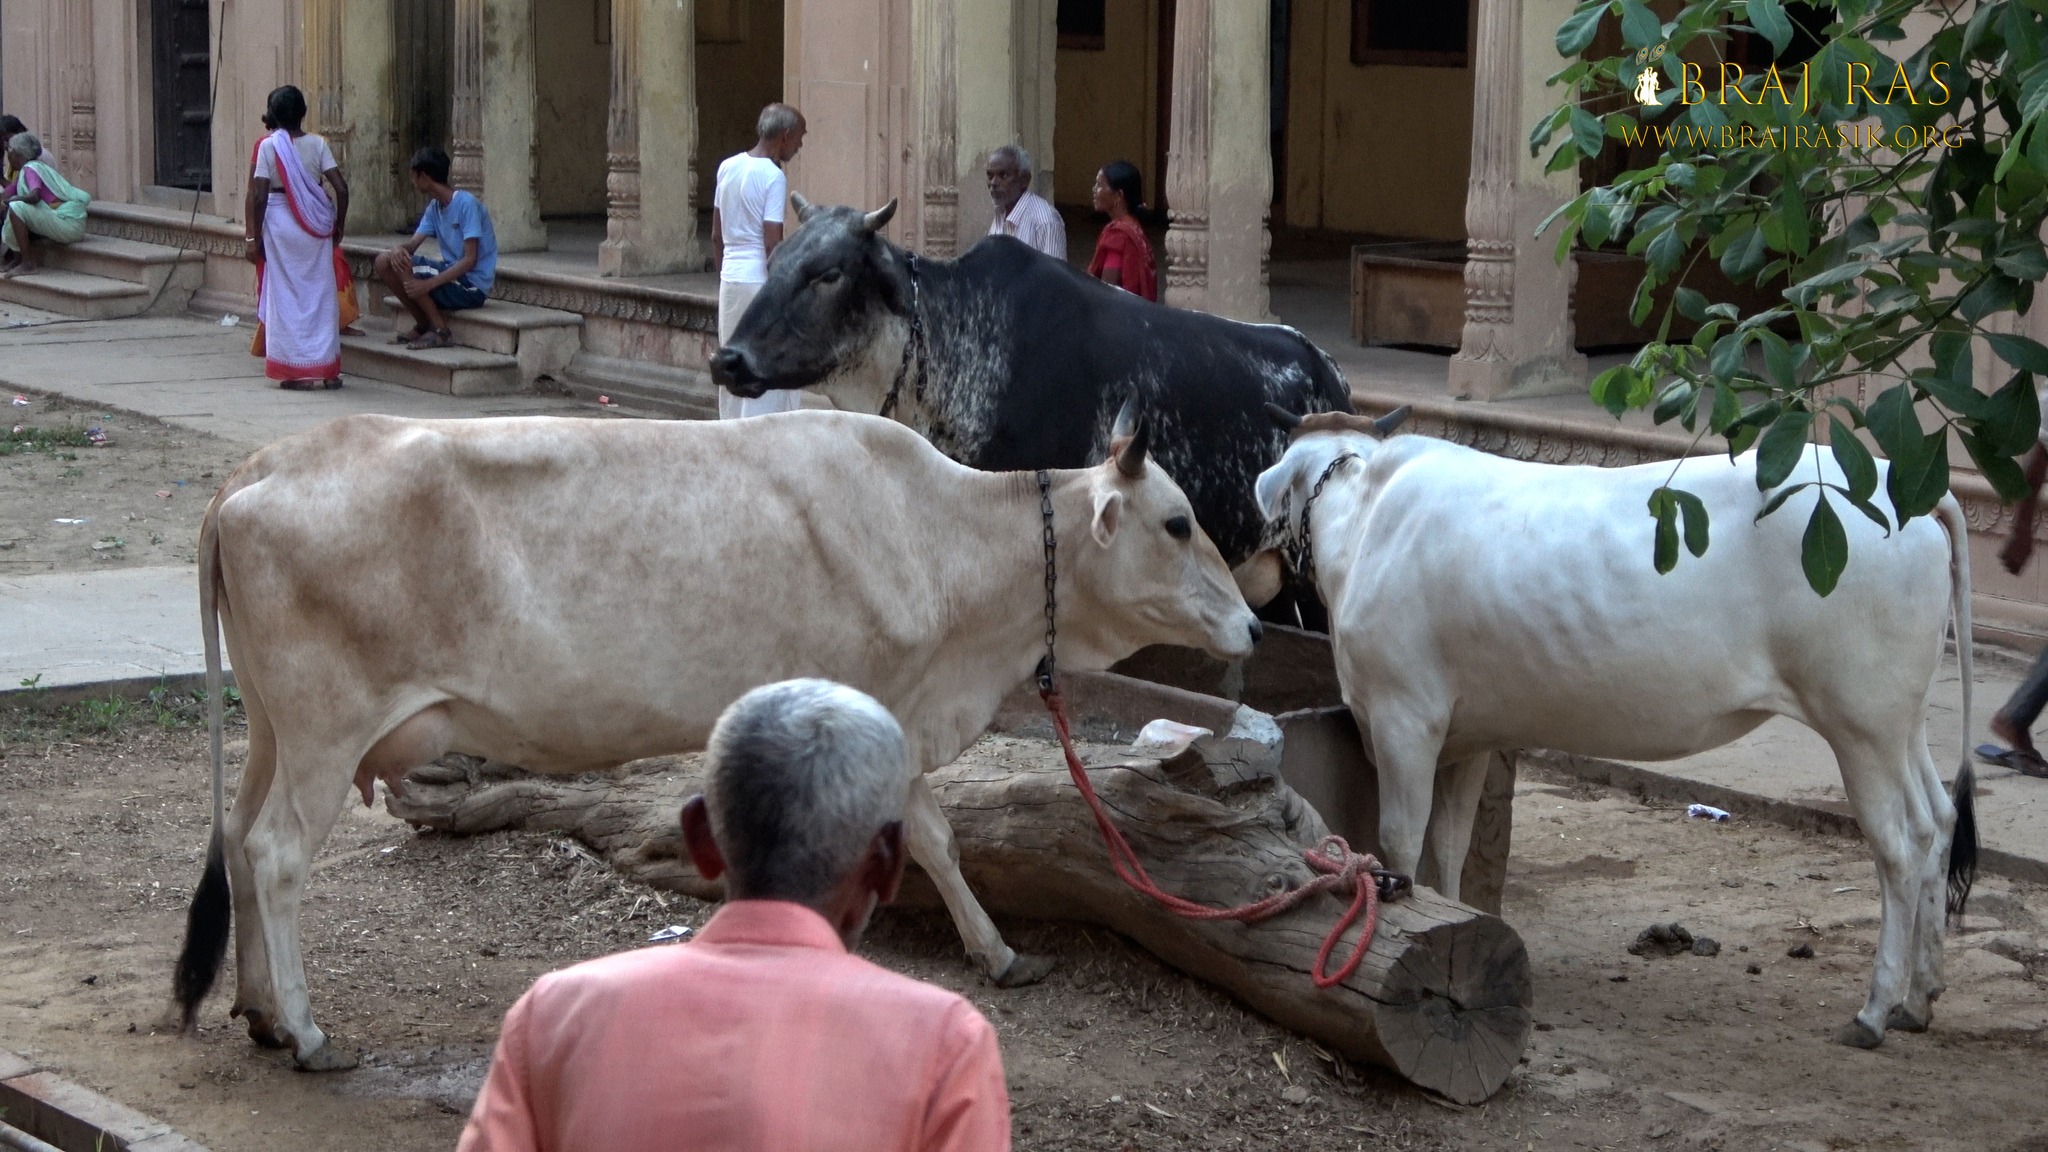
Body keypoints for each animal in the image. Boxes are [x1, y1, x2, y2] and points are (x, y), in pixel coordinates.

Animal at [171, 406, 1260, 1070]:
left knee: (236, 834)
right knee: (275, 854)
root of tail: (264, 466)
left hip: (273, 729)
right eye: (1176, 522)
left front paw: (998, 954)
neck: (945, 539)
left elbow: (937, 839)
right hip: (324, 729)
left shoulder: (895, 714)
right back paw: (310, 1032)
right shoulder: (870, 706)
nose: (1253, 624)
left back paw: (260, 1014)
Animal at [1252, 408, 1978, 1051]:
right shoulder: (1466, 734)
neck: (1363, 518)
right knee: (1937, 820)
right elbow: (1449, 845)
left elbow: (1402, 842)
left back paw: (1875, 1010)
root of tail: (1903, 487)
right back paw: (1921, 996)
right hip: (1900, 720)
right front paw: (1450, 925)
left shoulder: (1404, 718)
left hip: (1859, 720)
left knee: (1899, 845)